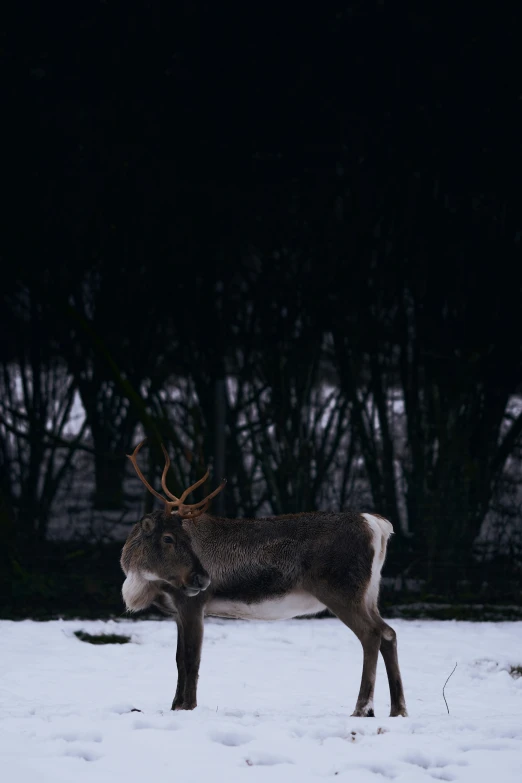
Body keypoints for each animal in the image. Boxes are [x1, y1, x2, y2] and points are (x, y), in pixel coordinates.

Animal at [121, 438, 406, 720]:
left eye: (186, 539)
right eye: (168, 538)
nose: (203, 578)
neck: (147, 582)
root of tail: (379, 526)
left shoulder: (193, 603)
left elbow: (192, 659)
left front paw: (187, 706)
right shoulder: (177, 610)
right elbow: (179, 659)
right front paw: (175, 705)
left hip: (342, 591)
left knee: (371, 634)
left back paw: (363, 709)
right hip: (369, 594)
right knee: (388, 632)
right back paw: (398, 709)